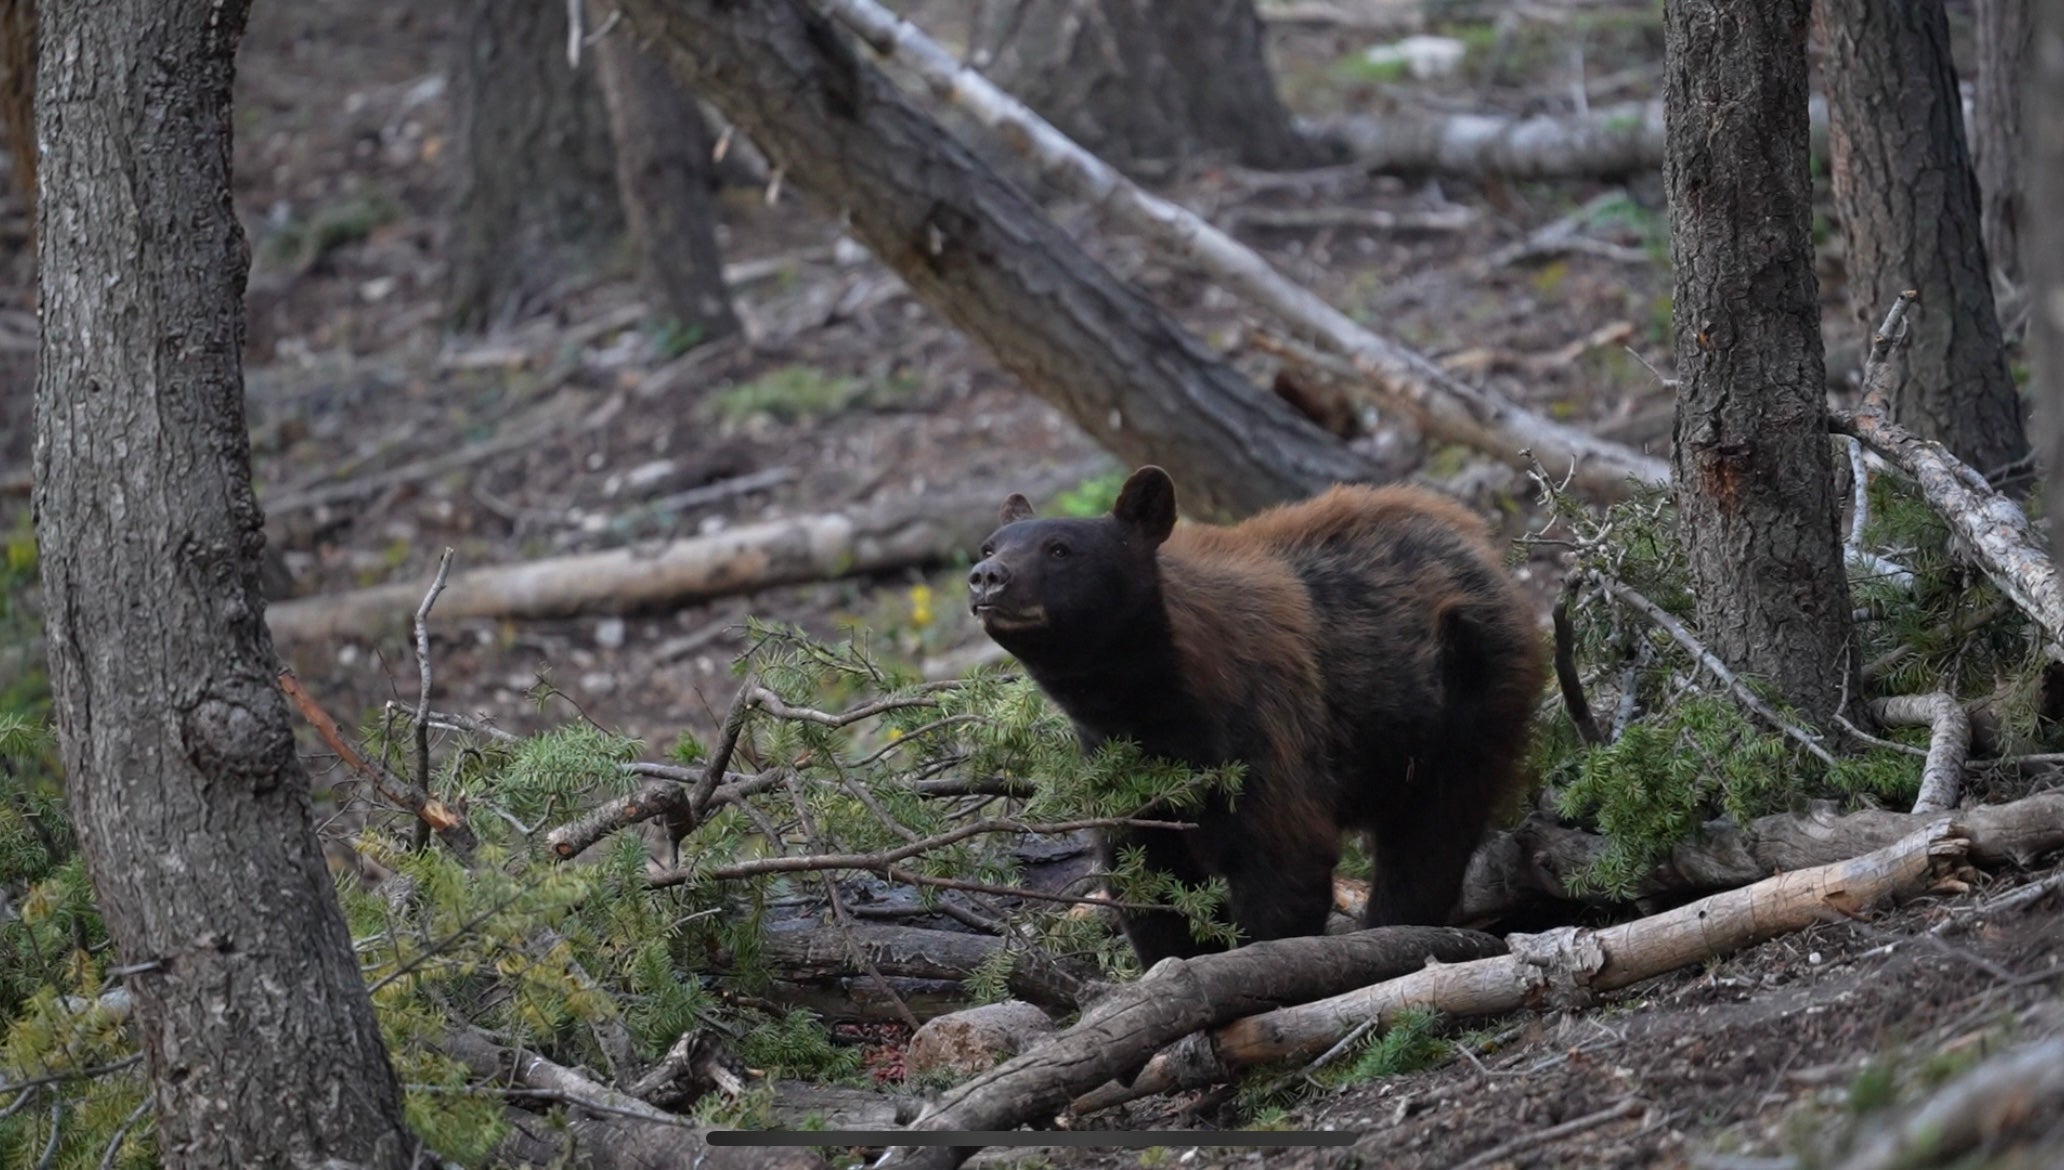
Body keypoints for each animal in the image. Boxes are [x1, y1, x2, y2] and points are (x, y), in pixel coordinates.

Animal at [965, 466, 1552, 969]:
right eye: (990, 544)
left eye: (1060, 548)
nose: (987, 576)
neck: (1151, 703)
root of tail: (1473, 535)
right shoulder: (1121, 768)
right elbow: (1147, 876)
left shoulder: (1260, 728)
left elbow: (1285, 859)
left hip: (1469, 695)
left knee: (1433, 832)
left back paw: (1394, 928)